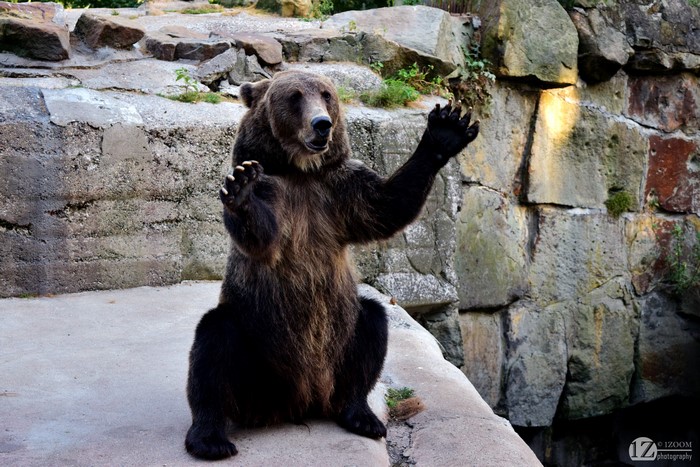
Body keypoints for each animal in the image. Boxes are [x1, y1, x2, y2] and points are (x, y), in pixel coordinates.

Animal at [185, 70, 479, 460]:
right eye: (294, 96)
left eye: (326, 94)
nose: (322, 124)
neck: (300, 172)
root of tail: (298, 402)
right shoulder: (281, 197)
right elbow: (261, 236)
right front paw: (242, 186)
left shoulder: (339, 191)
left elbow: (387, 205)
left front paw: (447, 128)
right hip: (257, 356)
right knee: (214, 345)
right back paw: (209, 438)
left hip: (340, 334)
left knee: (370, 325)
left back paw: (361, 415)